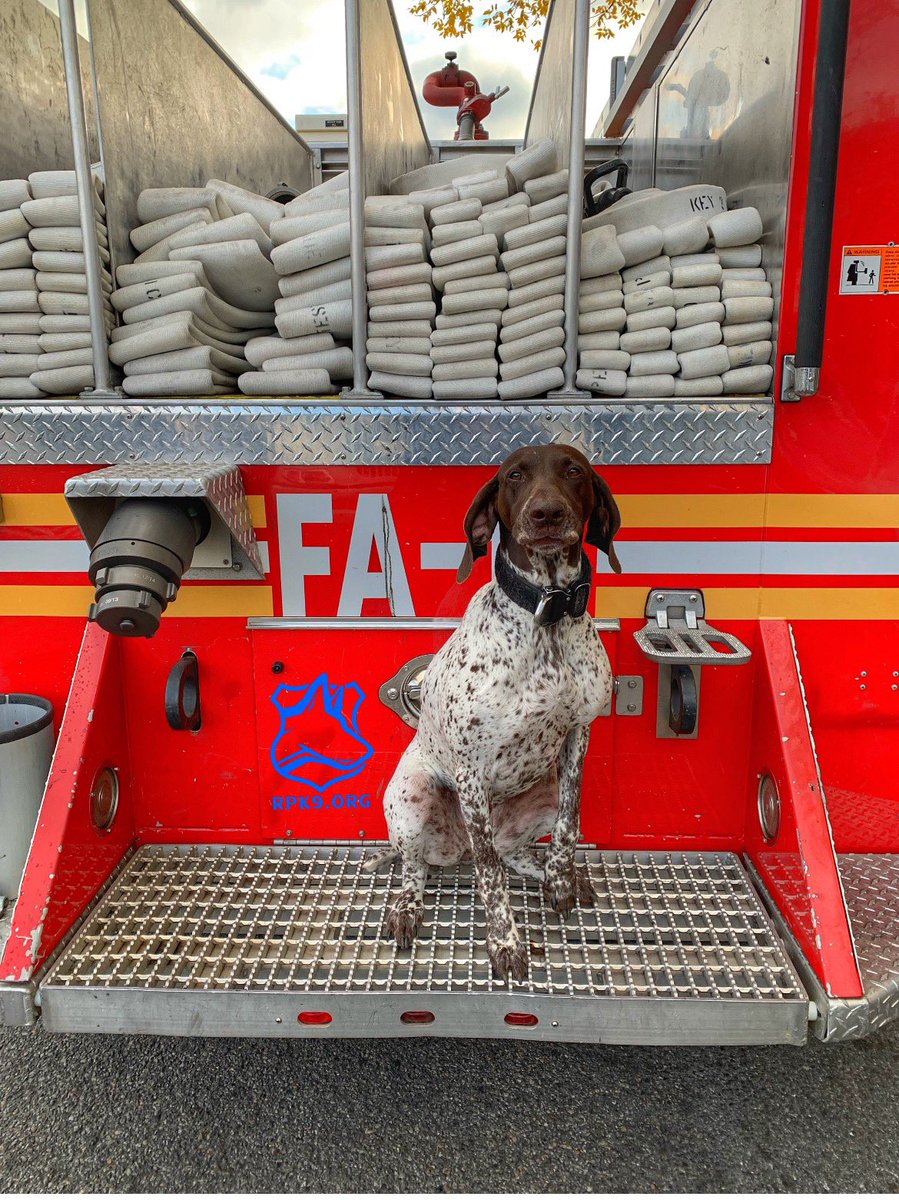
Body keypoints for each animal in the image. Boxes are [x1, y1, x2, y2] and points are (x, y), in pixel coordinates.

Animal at [374, 446, 619, 979]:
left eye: (574, 471)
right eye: (514, 476)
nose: (546, 514)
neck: (546, 616)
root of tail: (458, 849)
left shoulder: (578, 735)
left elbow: (568, 825)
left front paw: (561, 880)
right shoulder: (471, 771)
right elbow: (490, 877)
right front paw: (505, 942)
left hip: (542, 791)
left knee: (514, 854)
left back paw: (550, 872)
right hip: (411, 797)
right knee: (420, 866)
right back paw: (406, 907)